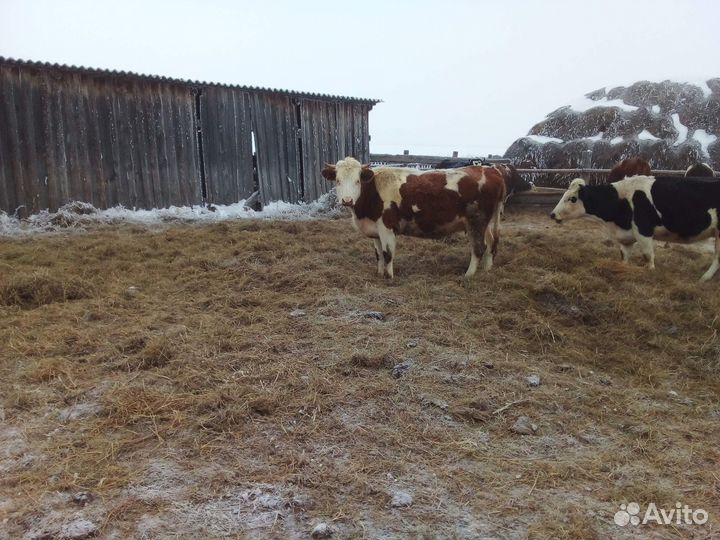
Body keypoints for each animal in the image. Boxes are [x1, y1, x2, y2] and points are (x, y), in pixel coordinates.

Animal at [321, 157, 506, 278]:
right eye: (337, 180)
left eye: (357, 181)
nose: (347, 200)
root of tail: (489, 170)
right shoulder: (375, 231)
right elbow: (378, 254)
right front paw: (379, 274)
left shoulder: (387, 227)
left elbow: (388, 254)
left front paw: (389, 278)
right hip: (484, 223)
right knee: (491, 243)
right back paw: (487, 269)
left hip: (477, 221)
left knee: (479, 248)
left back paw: (469, 275)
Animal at [550, 175, 720, 281]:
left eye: (572, 199)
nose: (552, 214)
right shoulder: (626, 237)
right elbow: (624, 257)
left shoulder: (643, 231)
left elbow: (647, 255)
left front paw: (651, 273)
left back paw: (704, 278)